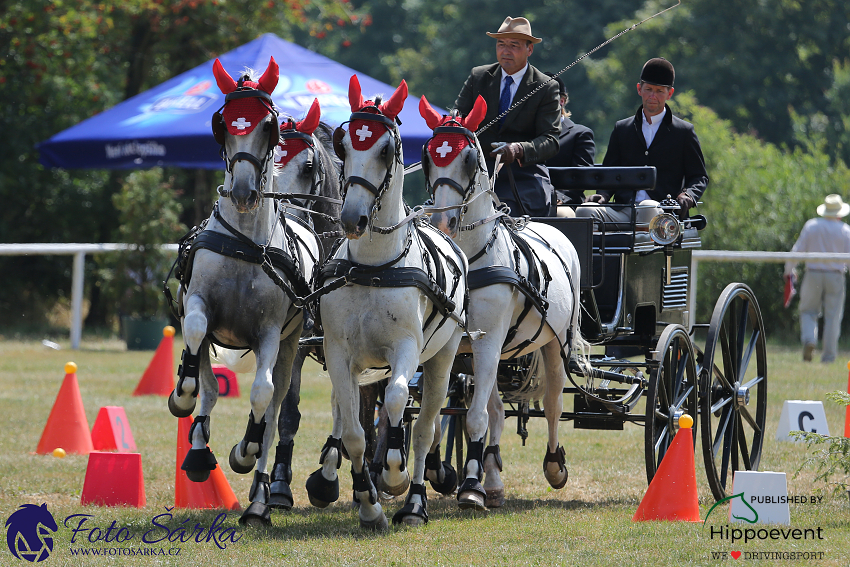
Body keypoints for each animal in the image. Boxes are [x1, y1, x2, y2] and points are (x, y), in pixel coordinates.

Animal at [168, 57, 318, 528]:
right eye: (225, 124)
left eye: (265, 126)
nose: (243, 191)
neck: (245, 245)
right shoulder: (198, 307)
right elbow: (198, 351)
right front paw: (182, 398)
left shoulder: (271, 333)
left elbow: (262, 396)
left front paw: (244, 452)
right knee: (211, 386)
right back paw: (199, 447)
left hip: (291, 348)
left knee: (274, 409)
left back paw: (259, 499)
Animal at [312, 74, 468, 528]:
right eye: (344, 144)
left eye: (385, 149)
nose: (352, 219)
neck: (374, 267)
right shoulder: (340, 355)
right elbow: (353, 431)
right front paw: (368, 504)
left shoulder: (406, 349)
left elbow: (400, 401)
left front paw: (394, 476)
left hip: (443, 357)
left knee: (427, 427)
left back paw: (414, 501)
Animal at [420, 95, 588, 512]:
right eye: (429, 155)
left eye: (468, 158)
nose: (443, 222)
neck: (466, 258)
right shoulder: (455, 346)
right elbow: (438, 416)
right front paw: (448, 474)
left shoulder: (487, 341)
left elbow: (474, 418)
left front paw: (471, 489)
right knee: (496, 410)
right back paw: (492, 478)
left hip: (553, 344)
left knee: (553, 403)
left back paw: (553, 465)